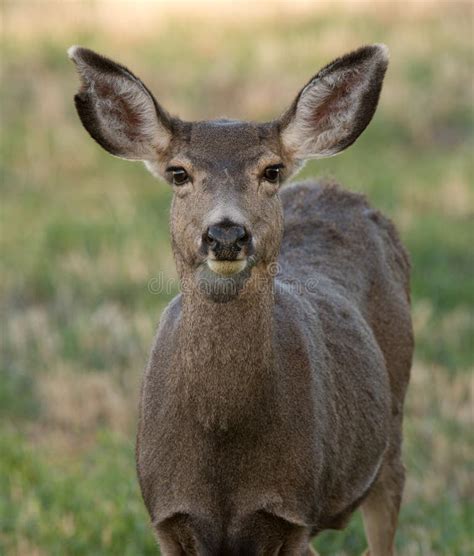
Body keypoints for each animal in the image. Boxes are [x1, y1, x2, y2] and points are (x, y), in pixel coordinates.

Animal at [68, 44, 412, 556]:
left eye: (271, 170)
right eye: (179, 173)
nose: (226, 233)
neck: (223, 438)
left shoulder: (291, 513)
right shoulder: (167, 516)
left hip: (393, 426)